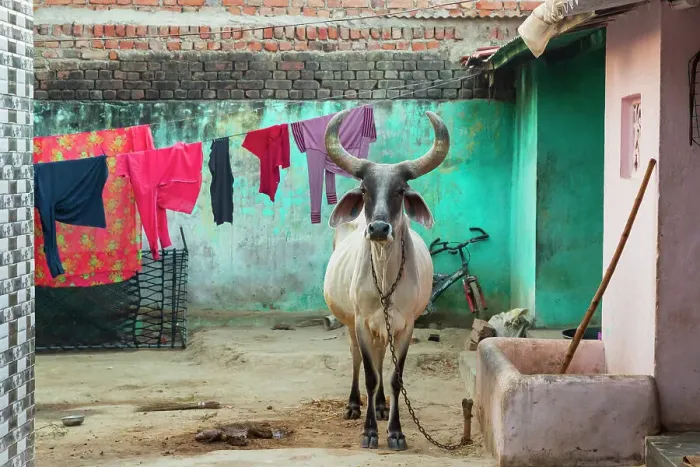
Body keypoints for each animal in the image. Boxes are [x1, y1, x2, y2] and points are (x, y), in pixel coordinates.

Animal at [322, 109, 449, 451]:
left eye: (401, 190)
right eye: (365, 189)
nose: (378, 229)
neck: (384, 274)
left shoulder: (406, 326)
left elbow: (394, 378)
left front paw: (395, 432)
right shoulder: (363, 322)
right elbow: (369, 374)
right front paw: (369, 432)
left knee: (381, 363)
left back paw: (379, 406)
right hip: (352, 324)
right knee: (358, 360)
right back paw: (355, 405)